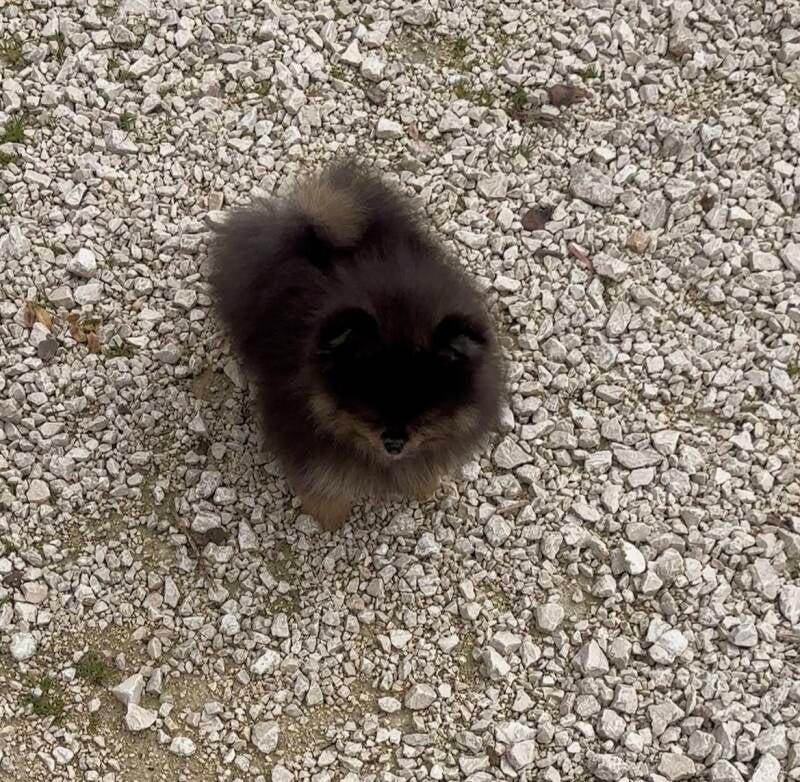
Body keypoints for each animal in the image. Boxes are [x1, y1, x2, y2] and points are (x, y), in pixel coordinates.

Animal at [209, 160, 503, 530]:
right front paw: (329, 516)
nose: (394, 442)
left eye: (426, 409)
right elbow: (319, 479)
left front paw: (424, 484)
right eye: (368, 404)